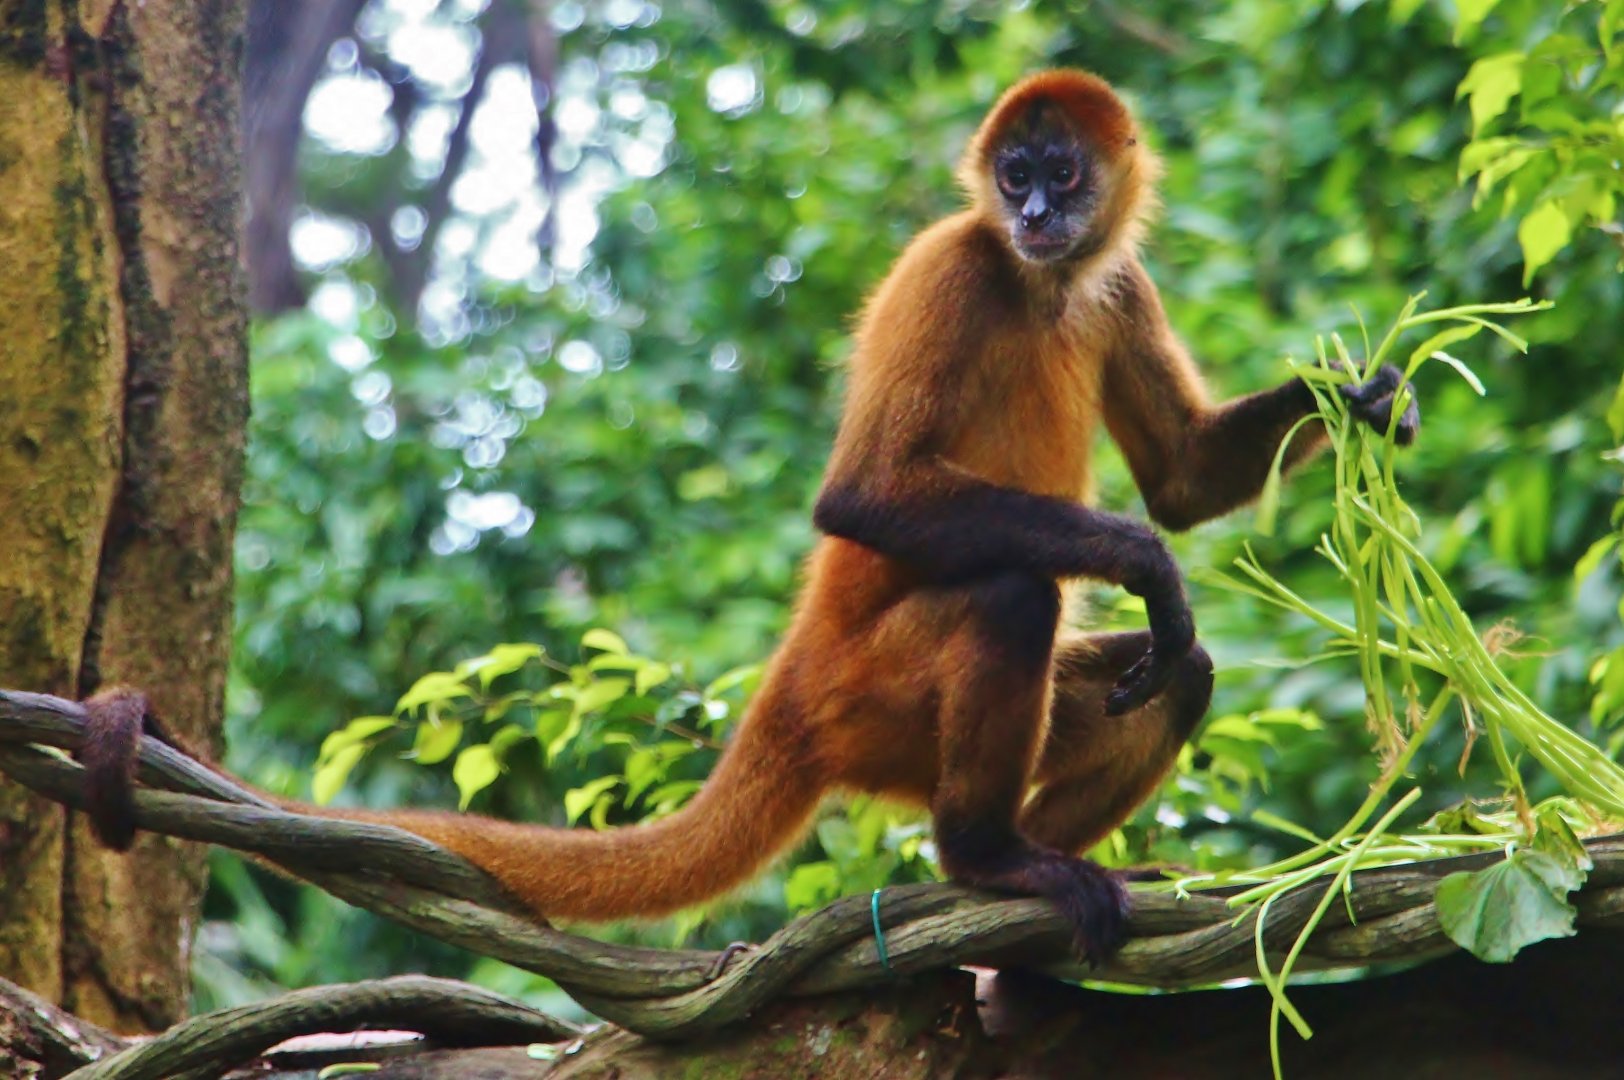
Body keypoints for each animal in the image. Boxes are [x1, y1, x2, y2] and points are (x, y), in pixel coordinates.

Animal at [77, 70, 1417, 961]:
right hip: (874, 698)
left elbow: (1185, 482)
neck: (1039, 283)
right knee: (1013, 594)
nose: (1035, 216)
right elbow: (869, 499)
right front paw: (1144, 561)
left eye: (1063, 174)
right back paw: (986, 862)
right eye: (1012, 178)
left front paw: (1363, 397)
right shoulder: (952, 264)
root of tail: (793, 680)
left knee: (1175, 673)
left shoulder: (1113, 274)